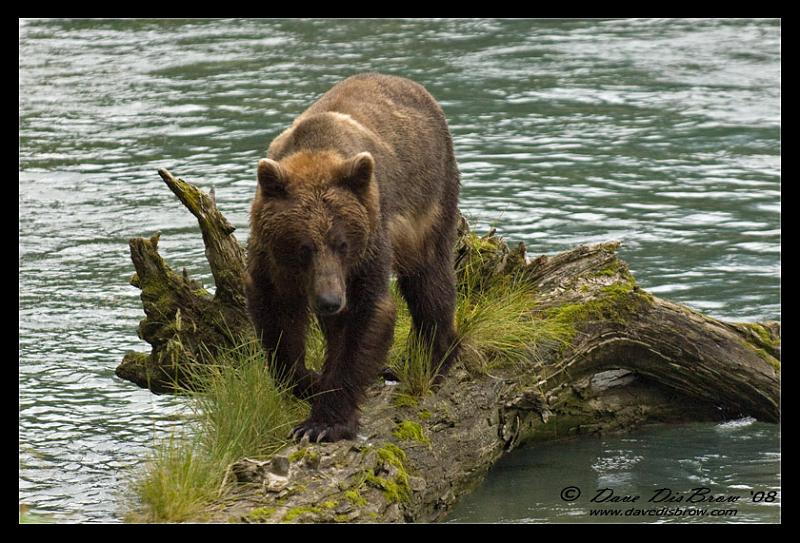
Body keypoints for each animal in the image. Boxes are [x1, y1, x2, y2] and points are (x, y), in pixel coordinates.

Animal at [245, 73, 461, 442]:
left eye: (342, 243)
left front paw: (322, 423)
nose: (330, 301)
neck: (317, 149)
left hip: (432, 197)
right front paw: (307, 380)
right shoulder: (271, 259)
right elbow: (277, 317)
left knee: (430, 278)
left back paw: (436, 356)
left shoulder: (370, 242)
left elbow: (364, 315)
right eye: (302, 247)